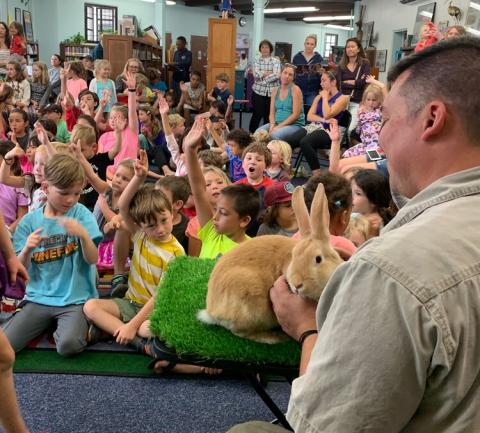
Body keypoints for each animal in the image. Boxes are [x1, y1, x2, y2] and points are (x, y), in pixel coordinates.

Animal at [197, 184, 344, 342]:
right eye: (294, 255)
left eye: (318, 259)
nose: (297, 284)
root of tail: (212, 310)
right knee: (240, 332)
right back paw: (274, 337)